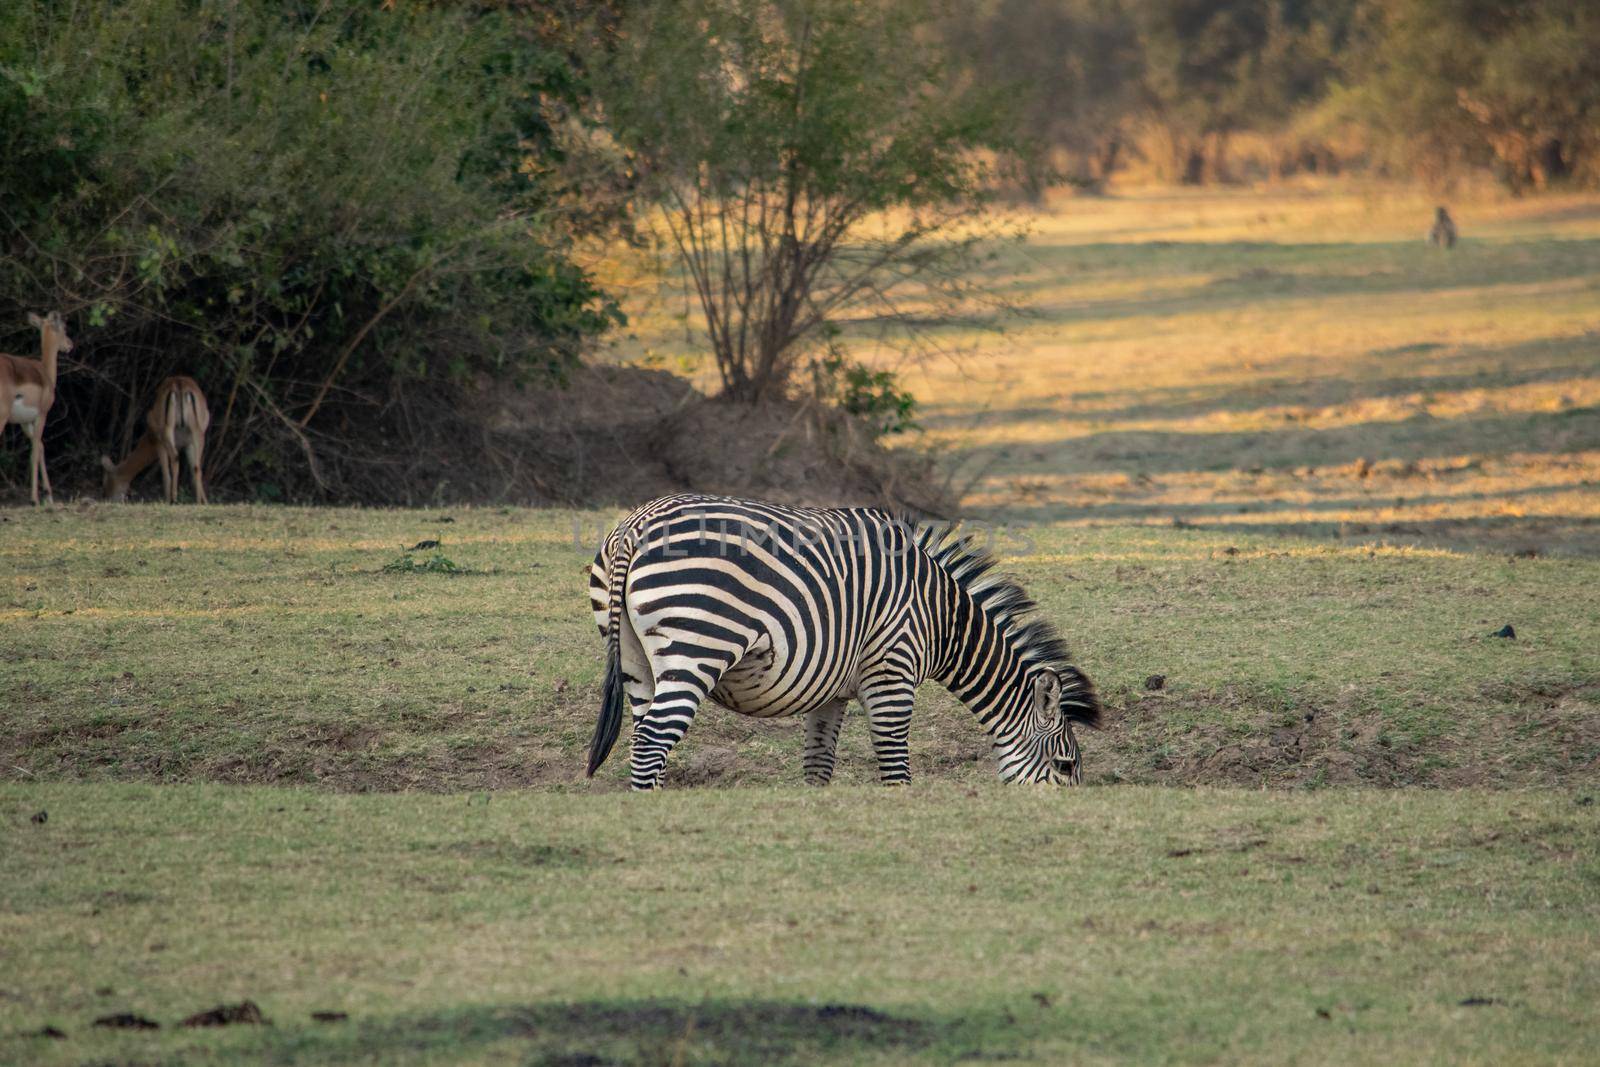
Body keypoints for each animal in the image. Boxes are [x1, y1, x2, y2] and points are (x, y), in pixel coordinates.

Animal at [588, 495, 1100, 790]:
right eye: (1065, 767)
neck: (940, 620)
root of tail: (636, 526)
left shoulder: (831, 692)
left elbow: (819, 764)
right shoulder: (893, 671)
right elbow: (895, 766)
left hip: (635, 659)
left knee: (644, 738)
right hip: (698, 644)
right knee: (652, 739)